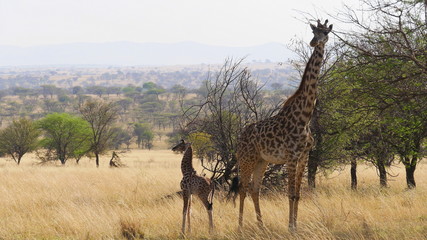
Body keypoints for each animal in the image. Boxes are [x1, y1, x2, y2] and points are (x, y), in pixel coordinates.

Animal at [232, 20, 332, 231]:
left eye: (326, 32)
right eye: (314, 31)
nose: (314, 42)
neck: (304, 117)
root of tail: (240, 136)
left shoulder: (303, 156)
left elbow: (297, 194)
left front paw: (296, 225)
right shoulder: (291, 157)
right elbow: (290, 193)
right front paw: (291, 227)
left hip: (262, 160)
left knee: (255, 189)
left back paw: (261, 225)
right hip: (246, 159)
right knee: (243, 188)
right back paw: (241, 226)